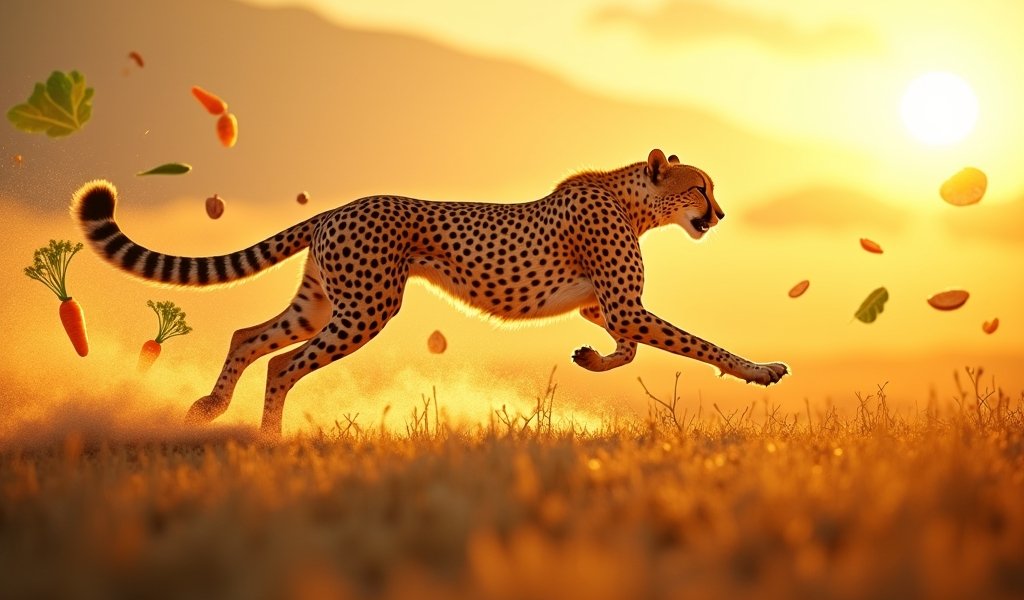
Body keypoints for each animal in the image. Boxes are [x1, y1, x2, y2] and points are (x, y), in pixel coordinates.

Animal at [73, 149, 788, 435]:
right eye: (700, 188)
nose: (720, 215)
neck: (631, 198)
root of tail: (338, 207)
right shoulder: (627, 306)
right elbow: (699, 345)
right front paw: (762, 370)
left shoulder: (605, 307)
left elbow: (628, 349)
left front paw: (590, 359)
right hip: (366, 309)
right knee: (283, 363)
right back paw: (268, 438)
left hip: (321, 303)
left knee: (249, 335)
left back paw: (210, 410)